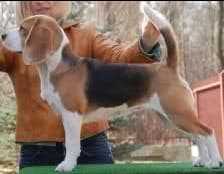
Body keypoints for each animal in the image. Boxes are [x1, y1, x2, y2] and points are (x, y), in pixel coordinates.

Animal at [2, 13, 224, 171]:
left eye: (23, 29)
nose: (2, 35)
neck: (55, 65)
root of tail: (168, 67)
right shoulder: (66, 116)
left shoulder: (71, 115)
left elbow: (72, 144)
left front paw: (67, 165)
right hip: (170, 118)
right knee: (198, 137)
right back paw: (202, 161)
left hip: (178, 114)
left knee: (207, 132)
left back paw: (214, 162)